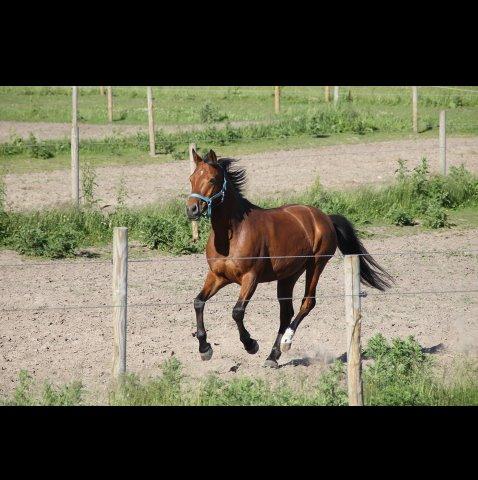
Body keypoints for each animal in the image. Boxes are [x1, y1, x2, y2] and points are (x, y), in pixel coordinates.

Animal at [185, 150, 390, 368]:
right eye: (191, 178)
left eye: (212, 179)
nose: (192, 209)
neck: (232, 234)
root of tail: (325, 217)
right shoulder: (218, 276)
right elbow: (198, 302)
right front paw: (205, 348)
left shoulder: (250, 278)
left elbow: (237, 311)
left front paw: (251, 344)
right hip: (288, 275)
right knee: (286, 312)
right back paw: (272, 356)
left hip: (316, 264)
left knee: (307, 303)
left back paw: (286, 342)